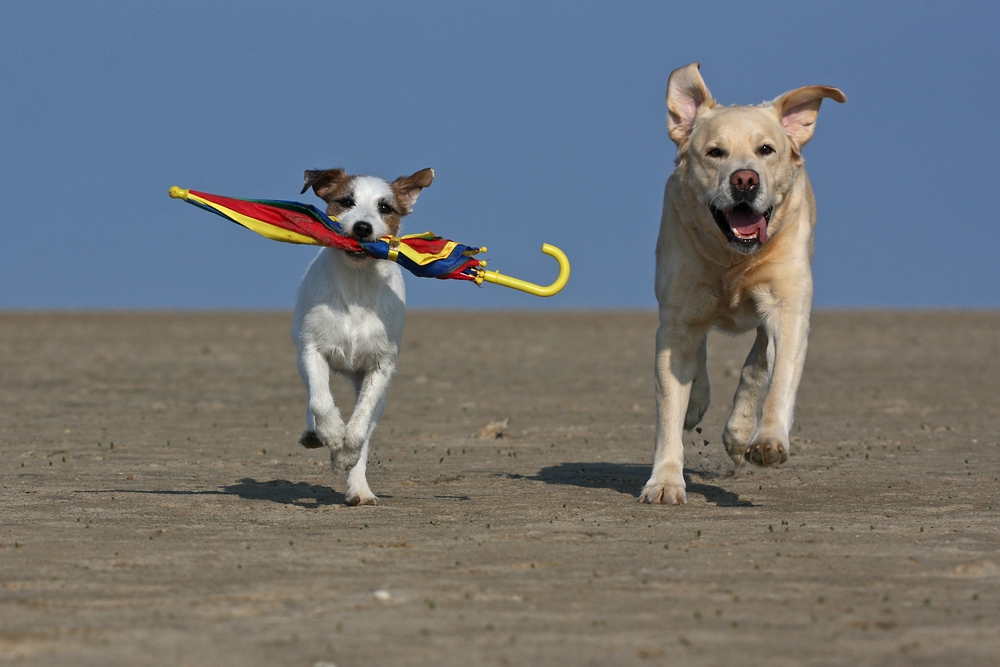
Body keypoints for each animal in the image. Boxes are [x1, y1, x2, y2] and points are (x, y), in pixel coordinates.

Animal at [290, 167, 430, 506]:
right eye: (345, 201)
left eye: (385, 207)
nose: (363, 227)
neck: (356, 285)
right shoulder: (311, 350)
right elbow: (320, 401)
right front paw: (329, 432)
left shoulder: (381, 366)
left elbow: (360, 425)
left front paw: (345, 455)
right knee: (314, 398)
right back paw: (314, 433)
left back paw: (360, 489)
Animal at [640, 65, 844, 504]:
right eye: (715, 152)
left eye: (766, 149)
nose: (745, 179)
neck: (733, 260)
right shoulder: (677, 319)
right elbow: (669, 409)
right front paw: (665, 481)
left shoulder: (788, 309)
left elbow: (777, 377)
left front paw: (766, 440)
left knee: (758, 361)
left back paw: (739, 431)